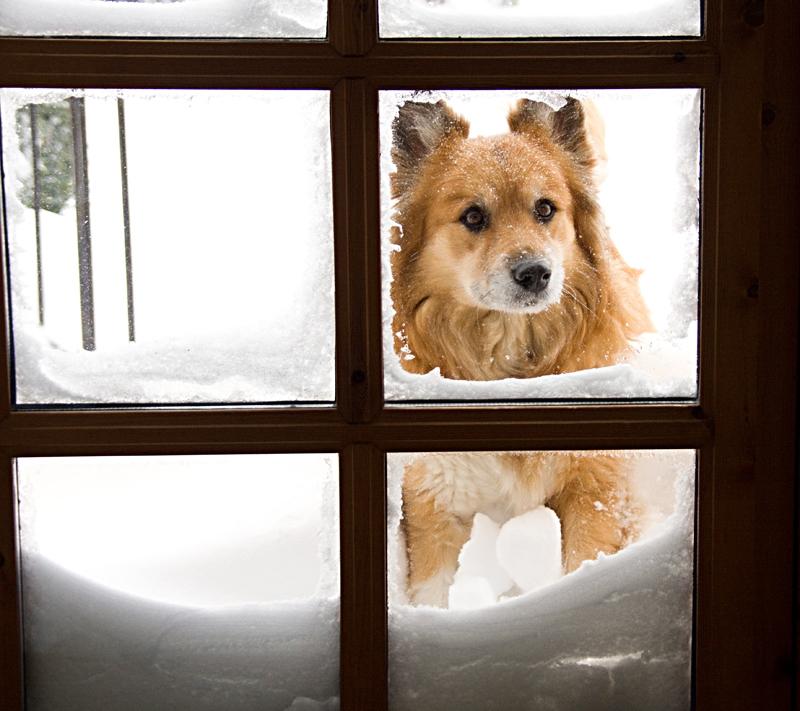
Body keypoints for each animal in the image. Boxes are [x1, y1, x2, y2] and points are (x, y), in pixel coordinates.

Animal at [390, 96, 652, 608]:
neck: (508, 359)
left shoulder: (595, 485)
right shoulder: (434, 499)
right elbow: (434, 589)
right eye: (473, 216)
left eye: (545, 208)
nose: (535, 273)